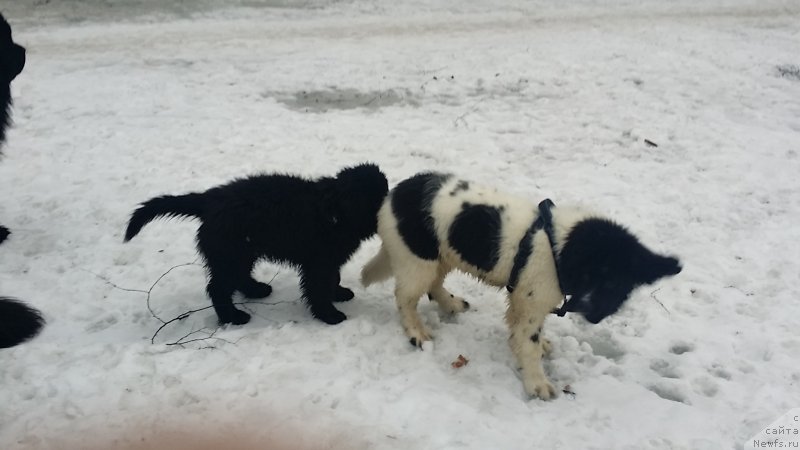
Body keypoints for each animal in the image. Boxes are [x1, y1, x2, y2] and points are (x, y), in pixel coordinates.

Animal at [123, 163, 390, 326]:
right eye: (378, 198)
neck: (335, 210)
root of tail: (209, 200)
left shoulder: (330, 259)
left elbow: (332, 278)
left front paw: (339, 293)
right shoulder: (319, 262)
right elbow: (318, 288)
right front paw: (329, 314)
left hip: (241, 252)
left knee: (239, 278)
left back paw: (256, 290)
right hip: (231, 253)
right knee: (217, 288)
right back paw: (233, 317)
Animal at [362, 171, 680, 398]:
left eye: (621, 286)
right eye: (598, 276)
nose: (595, 317)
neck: (557, 245)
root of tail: (393, 196)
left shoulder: (526, 299)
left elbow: (523, 333)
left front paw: (538, 349)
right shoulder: (531, 300)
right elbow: (528, 340)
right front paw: (537, 383)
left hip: (444, 253)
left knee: (433, 285)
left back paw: (451, 304)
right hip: (420, 258)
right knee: (405, 296)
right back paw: (416, 332)